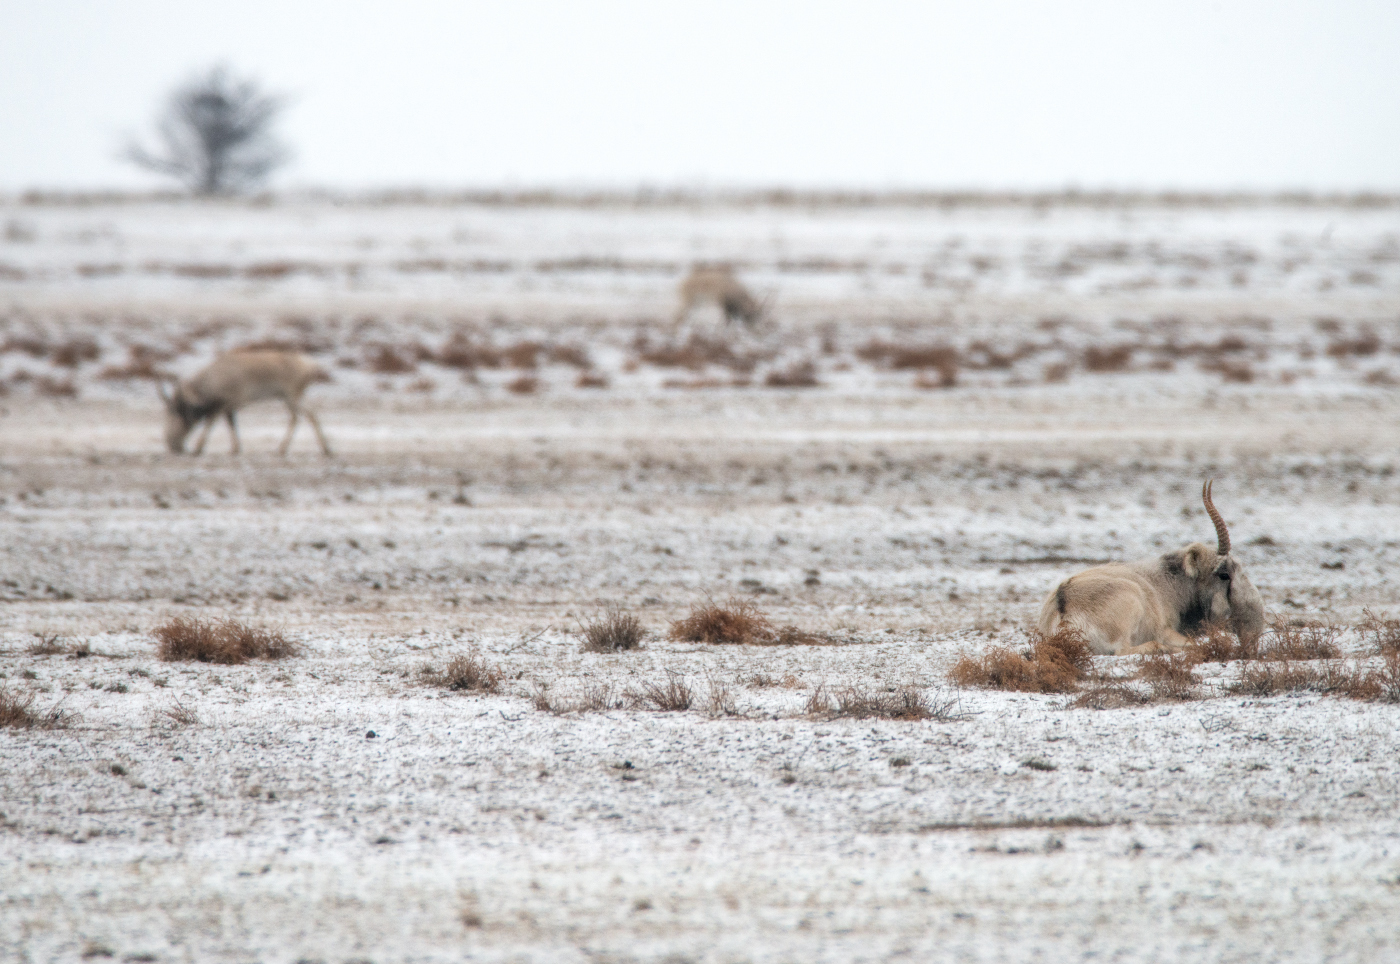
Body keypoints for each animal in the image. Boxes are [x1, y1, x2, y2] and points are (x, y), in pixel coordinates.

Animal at [158, 349, 333, 456]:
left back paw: (323, 449)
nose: (172, 445)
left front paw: (198, 449)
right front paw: (235, 449)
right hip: (287, 398)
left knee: (308, 415)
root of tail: (311, 365)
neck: (212, 378)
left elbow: (210, 422)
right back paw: (285, 449)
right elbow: (232, 424)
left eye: (175, 411)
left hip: (292, 396)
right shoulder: (229, 407)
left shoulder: (224, 404)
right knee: (300, 416)